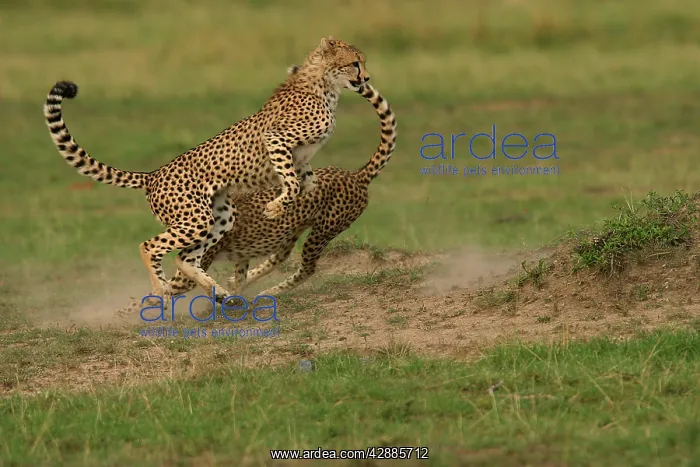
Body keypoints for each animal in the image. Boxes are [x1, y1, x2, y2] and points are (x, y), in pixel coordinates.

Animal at [43, 36, 372, 306]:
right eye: (354, 63)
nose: (366, 78)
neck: (323, 85)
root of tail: (153, 174)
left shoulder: (301, 162)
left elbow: (306, 185)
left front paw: (293, 208)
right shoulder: (276, 140)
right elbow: (290, 184)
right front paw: (275, 208)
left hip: (221, 217)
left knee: (186, 258)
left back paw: (220, 292)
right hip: (195, 218)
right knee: (150, 246)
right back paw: (162, 289)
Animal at [116, 74, 396, 316]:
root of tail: (355, 174)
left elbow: (160, 291)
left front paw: (125, 311)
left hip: (323, 231)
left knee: (307, 267)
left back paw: (271, 290)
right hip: (293, 232)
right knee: (279, 257)